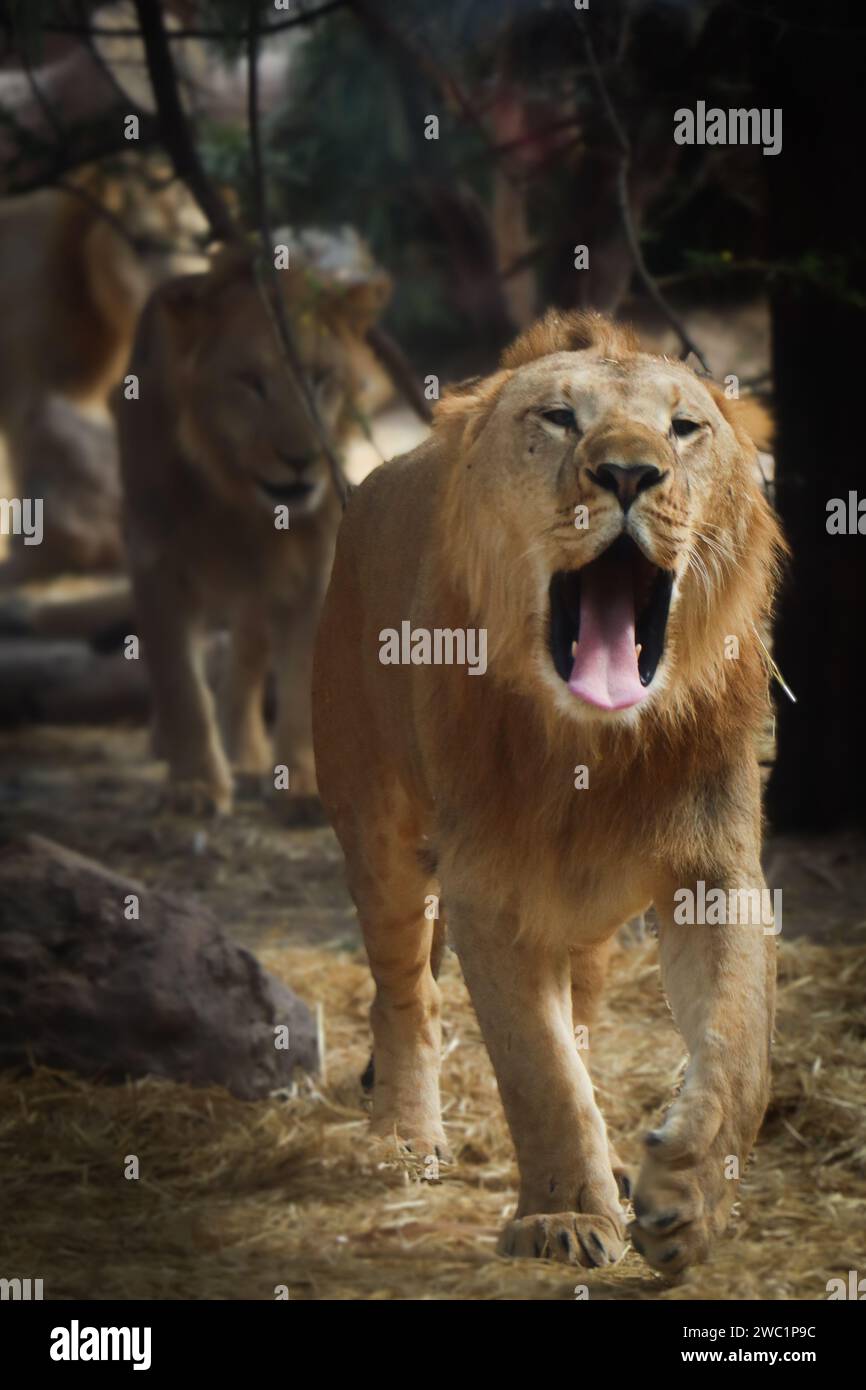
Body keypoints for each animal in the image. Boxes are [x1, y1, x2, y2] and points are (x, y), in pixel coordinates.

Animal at [117, 230, 391, 811]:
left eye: (318, 379)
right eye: (249, 382)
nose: (301, 459)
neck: (239, 501)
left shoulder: (311, 562)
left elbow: (302, 673)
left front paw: (304, 781)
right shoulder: (154, 558)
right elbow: (177, 676)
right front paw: (195, 784)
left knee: (247, 653)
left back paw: (245, 754)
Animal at [311, 309, 783, 1273]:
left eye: (685, 427)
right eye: (559, 419)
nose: (631, 474)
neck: (594, 747)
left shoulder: (715, 869)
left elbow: (739, 1043)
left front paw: (688, 1193)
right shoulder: (488, 887)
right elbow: (539, 1073)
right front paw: (563, 1217)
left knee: (581, 1010)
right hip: (379, 834)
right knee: (405, 998)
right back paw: (407, 1136)